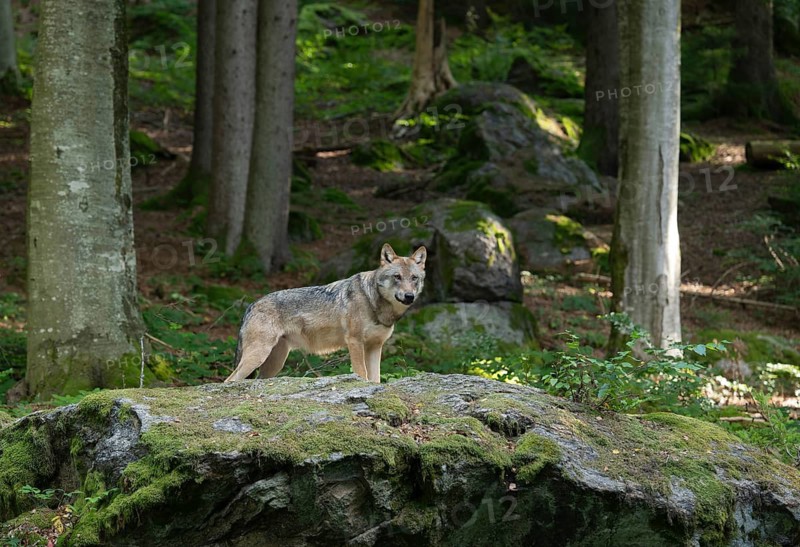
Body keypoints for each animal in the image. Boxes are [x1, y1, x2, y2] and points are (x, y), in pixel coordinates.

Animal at [225, 243, 426, 384]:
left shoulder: (375, 347)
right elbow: (362, 373)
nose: (409, 296)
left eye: (414, 278)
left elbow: (375, 379)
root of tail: (251, 305)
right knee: (229, 380)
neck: (373, 302)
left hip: (274, 364)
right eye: (397, 277)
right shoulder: (354, 342)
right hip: (258, 355)